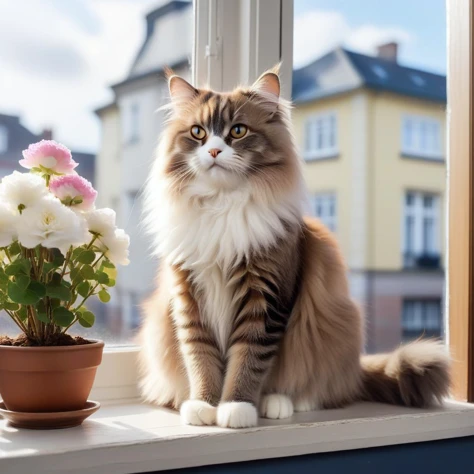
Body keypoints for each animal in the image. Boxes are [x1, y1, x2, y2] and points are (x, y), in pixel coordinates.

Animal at [138, 67, 452, 430]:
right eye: (198, 133)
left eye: (238, 131)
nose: (214, 152)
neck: (222, 206)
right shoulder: (189, 299)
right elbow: (200, 358)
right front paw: (204, 405)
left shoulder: (265, 298)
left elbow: (248, 359)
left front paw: (235, 407)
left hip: (333, 326)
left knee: (316, 389)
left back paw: (279, 402)